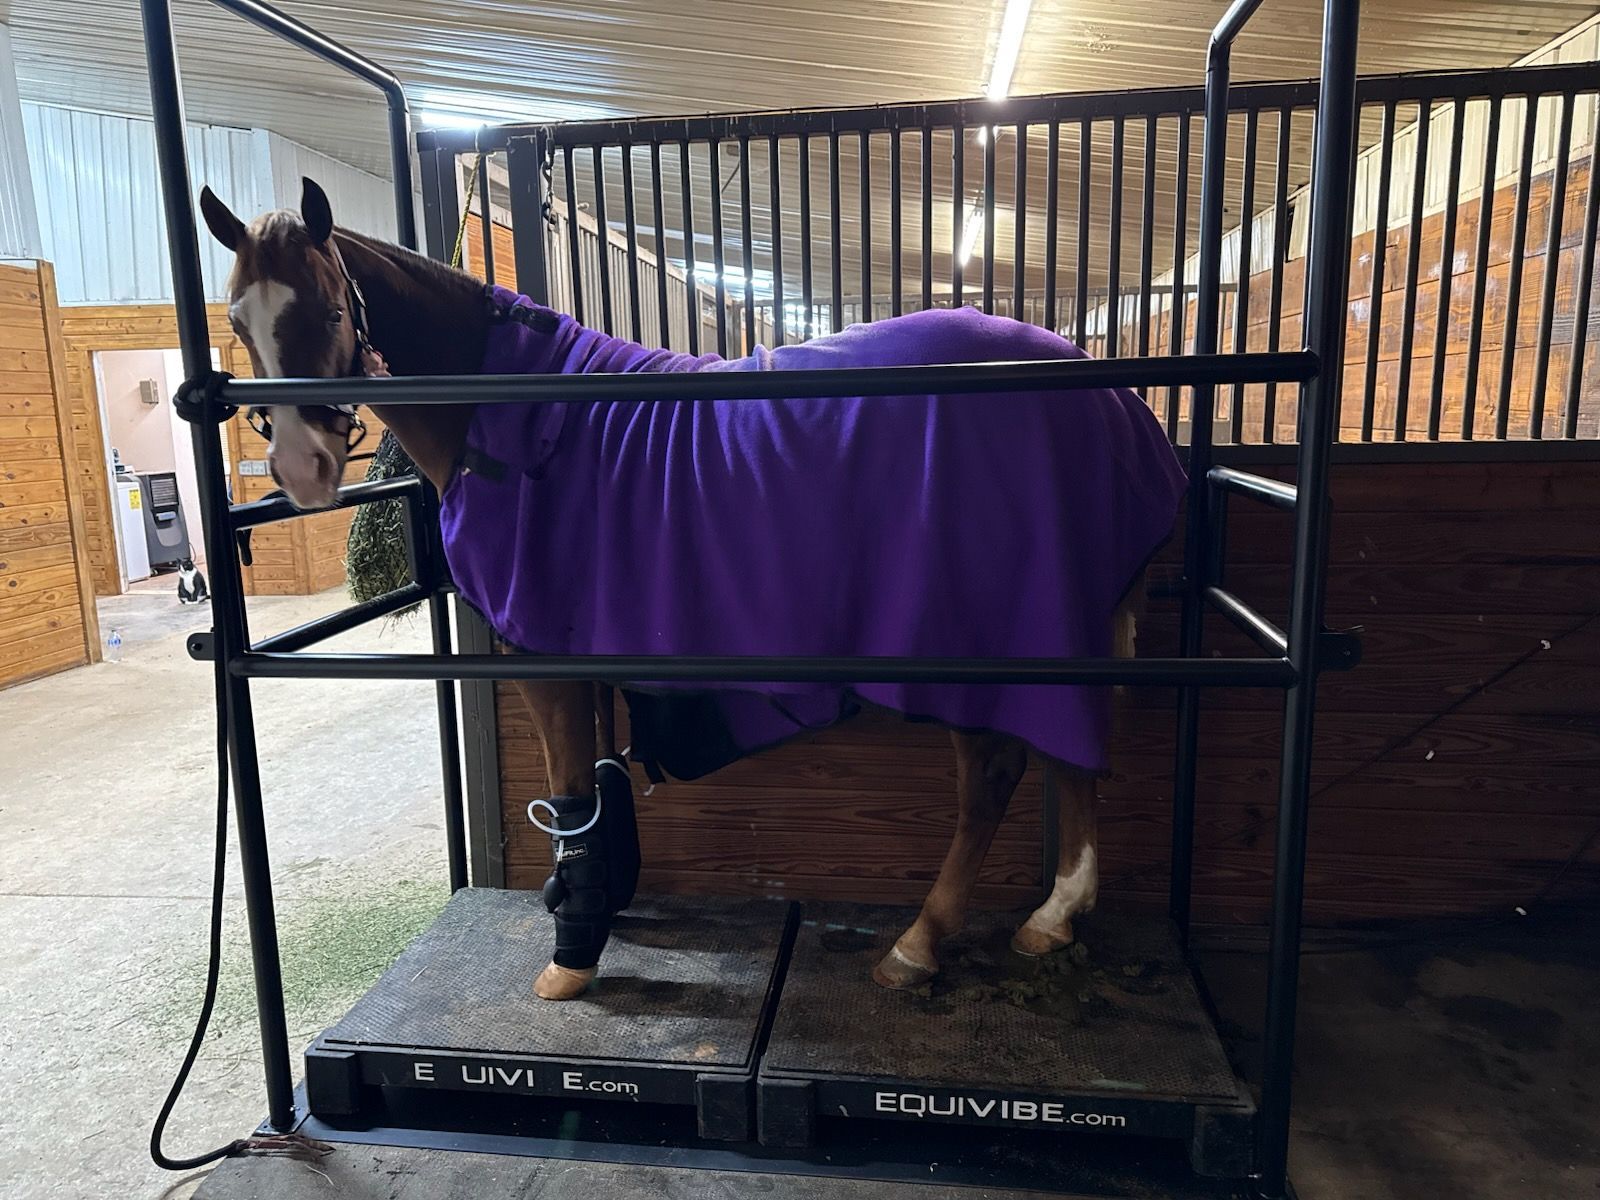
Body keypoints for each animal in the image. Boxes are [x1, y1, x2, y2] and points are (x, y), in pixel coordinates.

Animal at [198, 177, 1185, 1003]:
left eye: (330, 307)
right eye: (238, 323)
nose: (301, 469)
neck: (511, 413)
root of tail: (1111, 399)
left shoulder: (541, 655)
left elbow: (571, 798)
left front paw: (573, 957)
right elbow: (596, 791)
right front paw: (602, 903)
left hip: (977, 645)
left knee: (995, 776)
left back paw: (920, 945)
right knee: (1070, 754)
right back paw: (1050, 920)